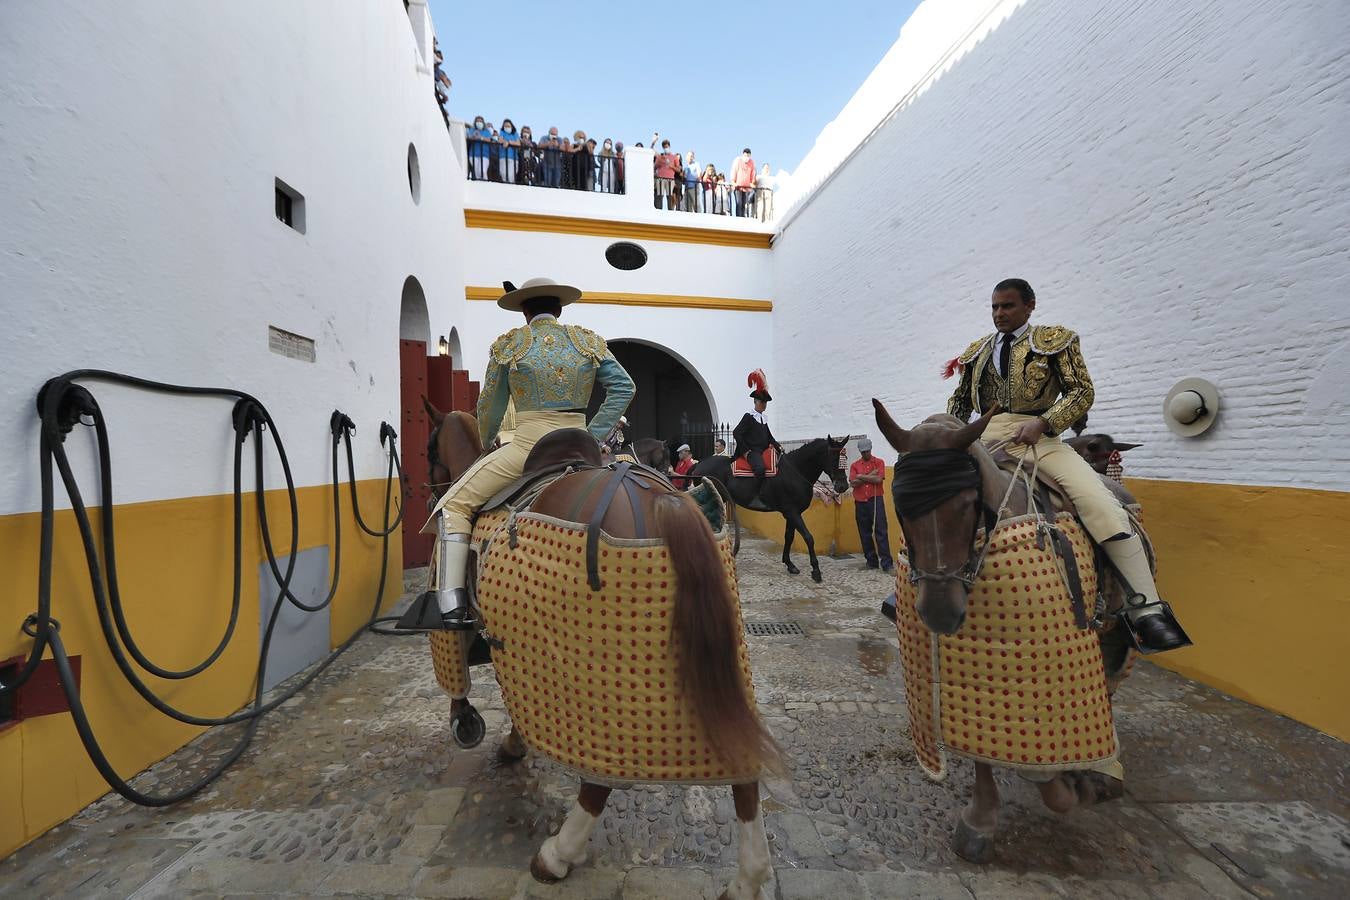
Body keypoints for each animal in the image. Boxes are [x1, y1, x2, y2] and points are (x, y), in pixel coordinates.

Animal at [696, 437, 842, 585]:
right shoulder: (792, 512)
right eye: (834, 457)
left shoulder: (791, 513)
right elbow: (808, 537)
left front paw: (789, 564)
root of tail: (700, 464)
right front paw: (816, 571)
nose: (843, 486)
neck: (794, 471)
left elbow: (789, 536)